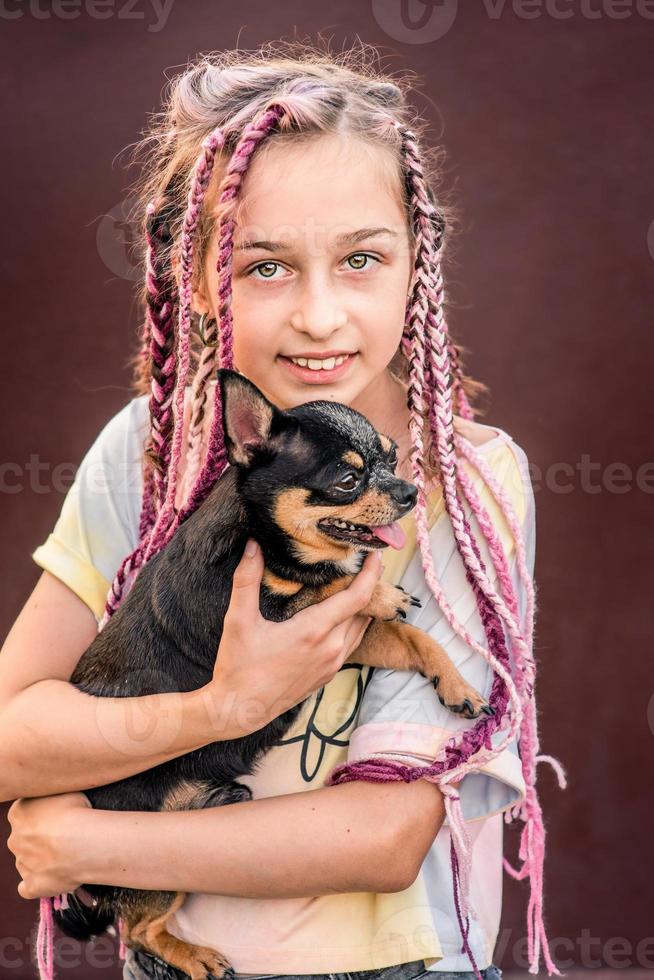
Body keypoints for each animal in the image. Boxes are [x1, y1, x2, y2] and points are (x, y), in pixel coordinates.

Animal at [56, 370, 492, 980]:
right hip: (146, 858)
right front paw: (379, 590)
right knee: (140, 929)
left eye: (392, 457)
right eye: (347, 480)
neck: (270, 542)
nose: (407, 492)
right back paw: (196, 957)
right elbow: (328, 588)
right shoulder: (272, 618)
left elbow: (415, 639)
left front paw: (458, 685)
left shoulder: (349, 640)